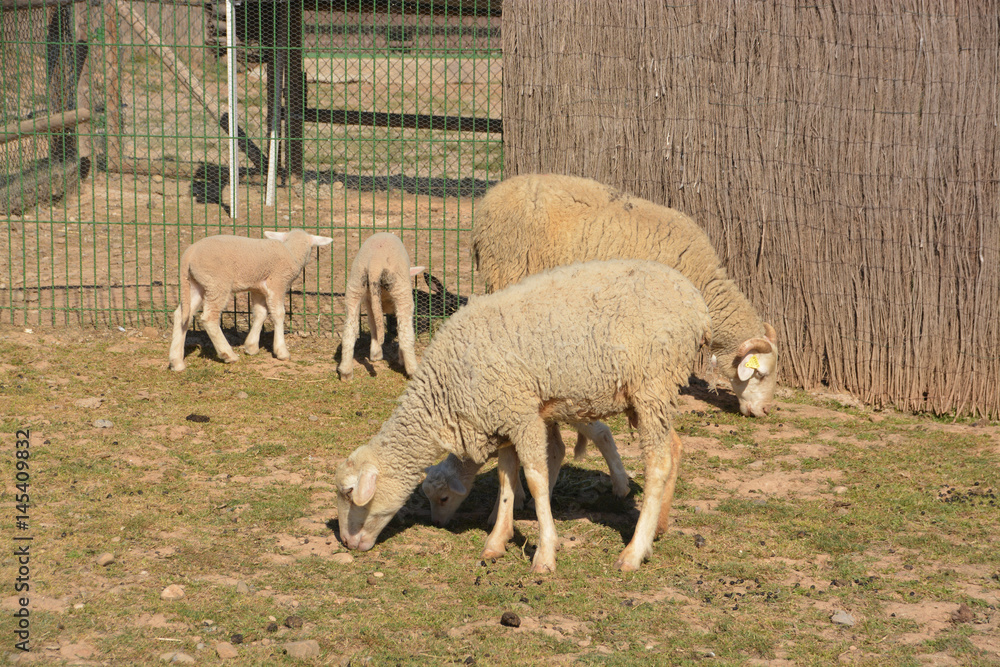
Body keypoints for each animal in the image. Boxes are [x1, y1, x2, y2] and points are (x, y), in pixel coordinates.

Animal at [168, 229, 333, 371]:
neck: (291, 252)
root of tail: (188, 254)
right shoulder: (277, 283)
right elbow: (278, 314)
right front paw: (281, 351)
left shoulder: (257, 288)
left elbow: (260, 313)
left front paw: (251, 346)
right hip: (217, 282)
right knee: (209, 318)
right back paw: (228, 354)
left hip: (197, 284)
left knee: (182, 315)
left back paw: (177, 362)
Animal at [338, 233, 425, 381]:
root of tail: (375, 263)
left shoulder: (369, 301)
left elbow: (373, 324)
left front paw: (375, 354)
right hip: (400, 288)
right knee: (405, 333)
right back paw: (413, 370)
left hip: (355, 284)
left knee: (349, 330)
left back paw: (346, 372)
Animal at [422, 421, 630, 527]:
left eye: (444, 498)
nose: (436, 522)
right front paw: (519, 497)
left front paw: (496, 516)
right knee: (557, 449)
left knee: (601, 433)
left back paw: (621, 487)